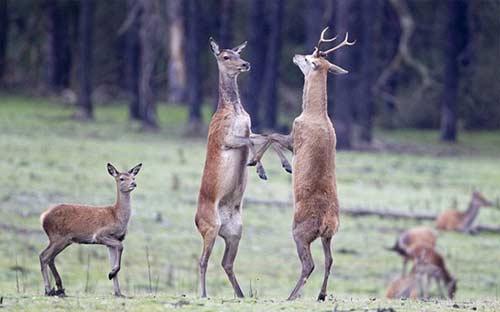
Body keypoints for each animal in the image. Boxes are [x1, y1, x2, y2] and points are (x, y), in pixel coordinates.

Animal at [39, 163, 142, 298]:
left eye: (133, 177)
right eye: (122, 178)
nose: (134, 184)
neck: (116, 215)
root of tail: (43, 217)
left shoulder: (112, 241)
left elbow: (113, 261)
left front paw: (118, 291)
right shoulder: (100, 235)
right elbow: (121, 246)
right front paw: (111, 274)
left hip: (62, 240)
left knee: (49, 257)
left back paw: (58, 289)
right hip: (58, 237)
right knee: (44, 256)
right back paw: (48, 290)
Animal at [194, 37, 292, 298]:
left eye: (238, 53)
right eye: (226, 56)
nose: (246, 64)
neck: (234, 111)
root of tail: (196, 220)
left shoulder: (249, 128)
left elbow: (268, 135)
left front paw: (285, 165)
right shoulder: (225, 138)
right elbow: (254, 141)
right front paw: (258, 167)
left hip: (235, 231)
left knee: (226, 263)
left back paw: (240, 294)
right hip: (210, 227)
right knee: (202, 260)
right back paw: (204, 294)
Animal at [248, 28, 354, 302]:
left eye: (308, 59)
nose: (295, 55)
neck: (314, 114)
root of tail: (327, 220)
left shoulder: (297, 136)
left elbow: (271, 135)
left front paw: (261, 165)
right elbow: (270, 135)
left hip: (300, 231)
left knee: (309, 264)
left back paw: (291, 296)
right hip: (329, 235)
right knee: (329, 260)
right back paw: (321, 295)